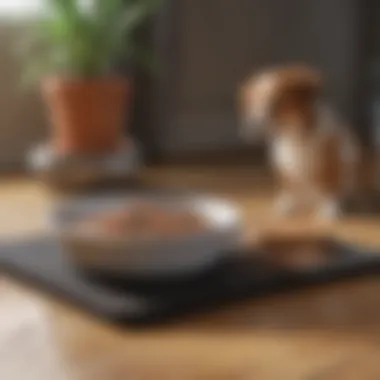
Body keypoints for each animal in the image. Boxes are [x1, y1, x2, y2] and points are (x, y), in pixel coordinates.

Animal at [239, 65, 376, 220]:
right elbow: (290, 188)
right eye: (252, 104)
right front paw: (288, 204)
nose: (246, 128)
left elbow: (330, 187)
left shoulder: (331, 165)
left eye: (274, 103)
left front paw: (329, 211)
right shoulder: (285, 169)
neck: (295, 135)